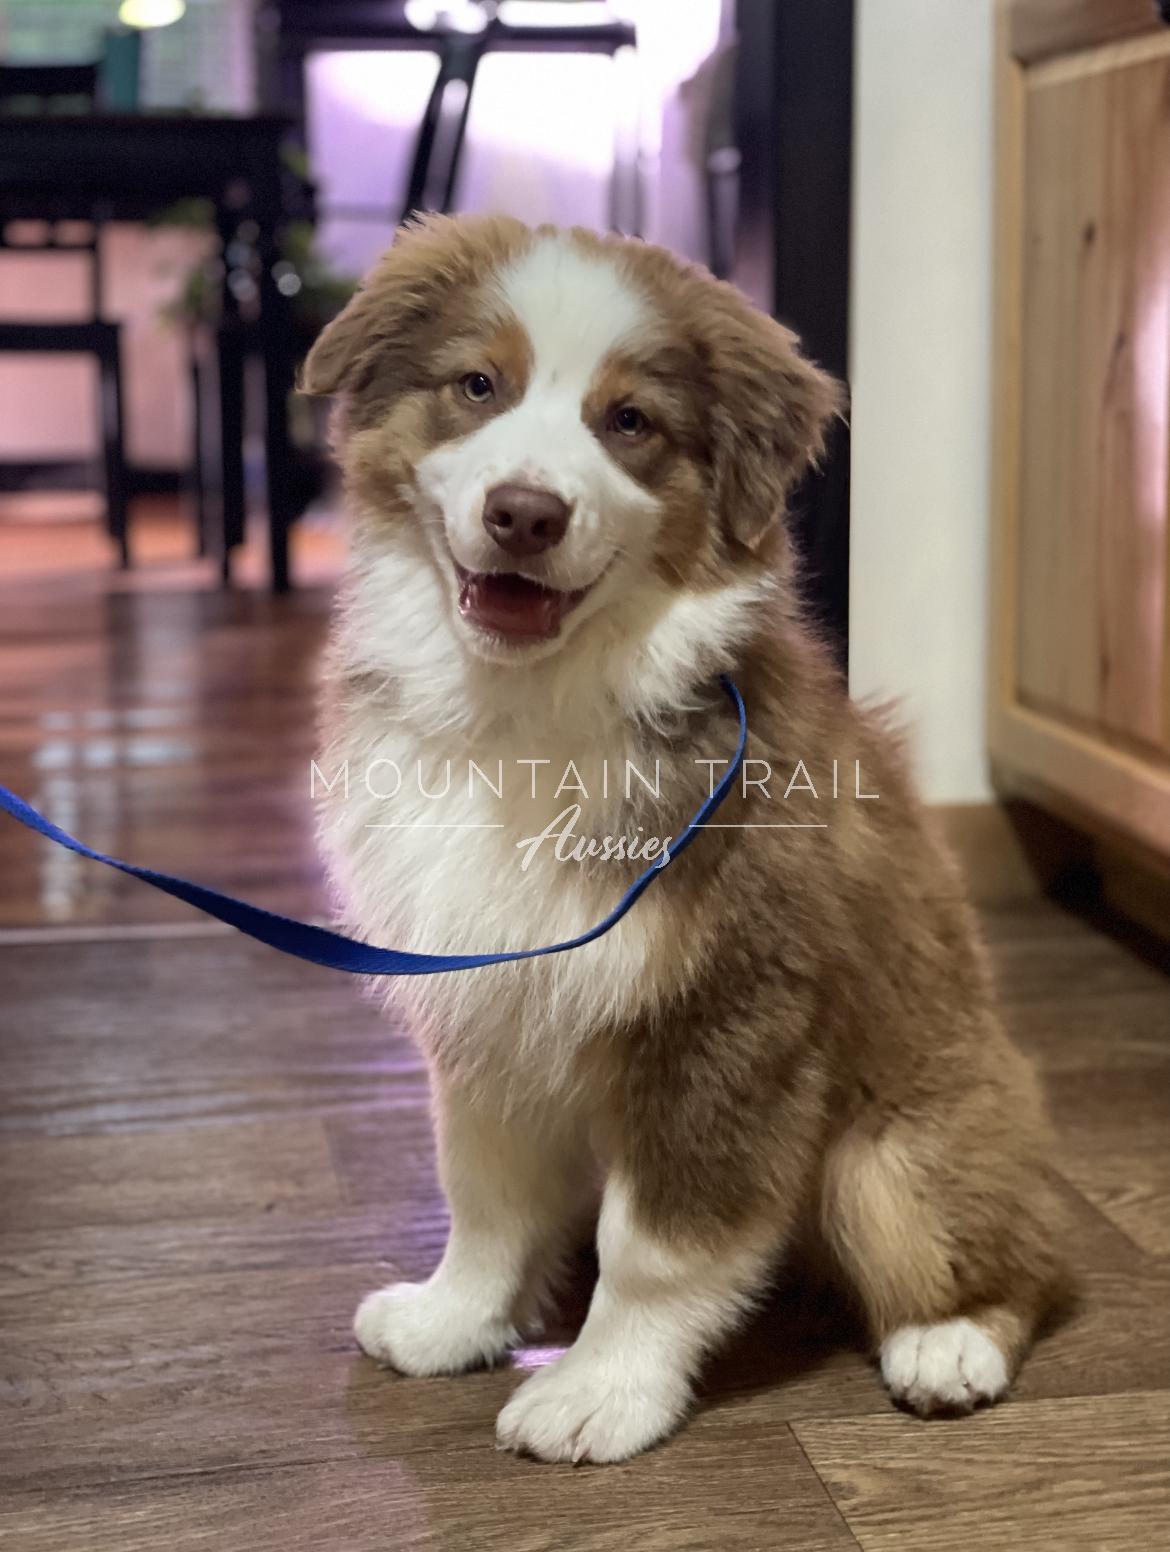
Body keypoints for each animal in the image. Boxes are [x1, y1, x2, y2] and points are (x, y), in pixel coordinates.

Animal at [303, 214, 1067, 1464]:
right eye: (477, 385)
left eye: (630, 422)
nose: (525, 513)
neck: (533, 715)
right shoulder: (490, 1004)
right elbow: (484, 1191)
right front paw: (456, 1318)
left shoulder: (725, 1021)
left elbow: (655, 1246)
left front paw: (600, 1392)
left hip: (893, 1150)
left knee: (1016, 1253)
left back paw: (949, 1342)